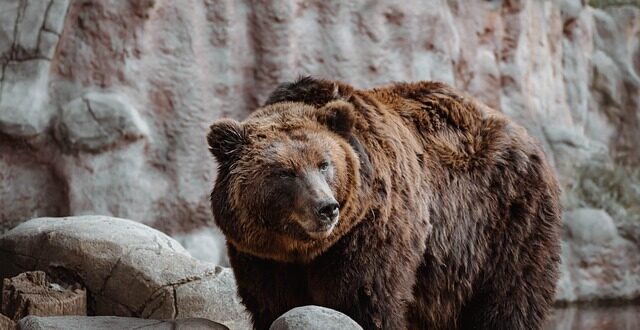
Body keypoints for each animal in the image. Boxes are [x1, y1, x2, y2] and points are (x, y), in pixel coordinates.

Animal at [206, 78, 560, 330]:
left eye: (324, 164)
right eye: (285, 172)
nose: (326, 207)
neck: (301, 249)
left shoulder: (371, 229)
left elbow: (364, 298)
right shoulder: (262, 255)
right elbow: (272, 303)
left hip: (505, 221)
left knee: (511, 297)